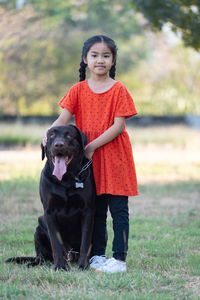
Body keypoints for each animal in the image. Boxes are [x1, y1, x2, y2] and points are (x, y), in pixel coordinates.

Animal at [6, 125, 95, 270]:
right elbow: (56, 242)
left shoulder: (87, 211)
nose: (58, 145)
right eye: (52, 136)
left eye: (69, 135)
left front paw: (83, 265)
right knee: (41, 257)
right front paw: (60, 266)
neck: (65, 179)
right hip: (39, 227)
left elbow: (85, 240)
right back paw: (33, 263)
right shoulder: (49, 212)